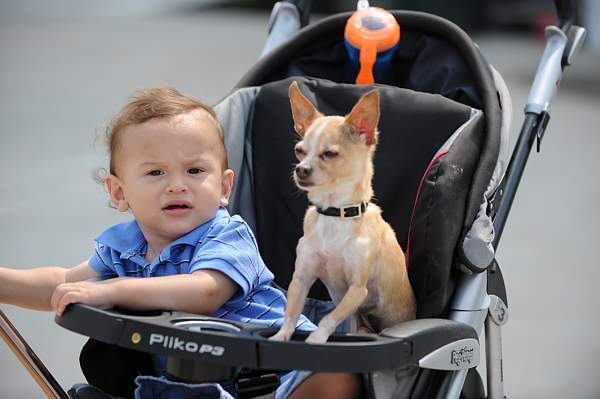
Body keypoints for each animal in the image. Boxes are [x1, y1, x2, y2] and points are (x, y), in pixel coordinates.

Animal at [270, 82, 414, 344]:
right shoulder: (302, 278)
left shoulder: (357, 289)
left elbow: (330, 317)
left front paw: (316, 338)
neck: (335, 213)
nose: (301, 169)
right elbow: (292, 311)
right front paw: (281, 336)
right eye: (299, 151)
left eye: (330, 154)